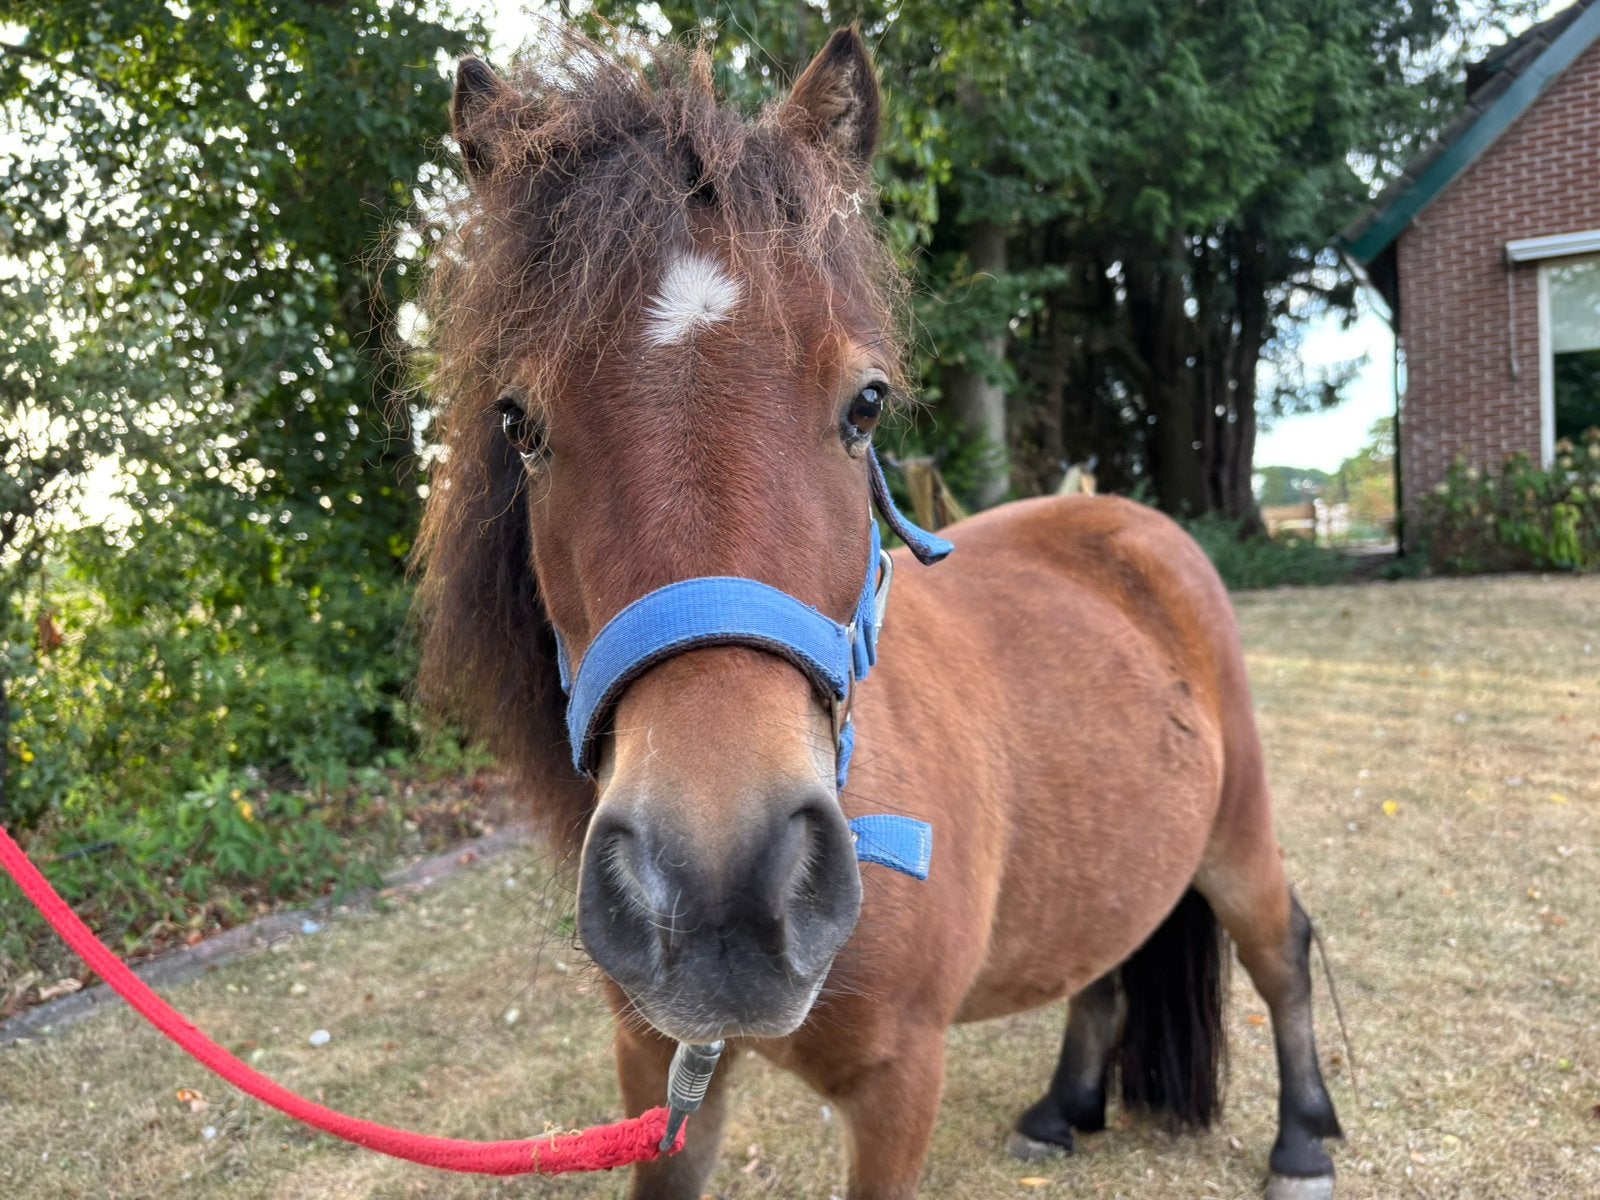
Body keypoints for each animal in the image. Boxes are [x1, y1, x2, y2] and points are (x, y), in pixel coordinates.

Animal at [413, 27, 1342, 1200]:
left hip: (1237, 830)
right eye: (518, 422)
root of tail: (1129, 523)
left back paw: (1301, 1138)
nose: (721, 893)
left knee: (1279, 948)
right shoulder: (658, 1068)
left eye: (866, 405)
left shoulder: (899, 1087)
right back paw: (1062, 1108)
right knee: (1104, 961)